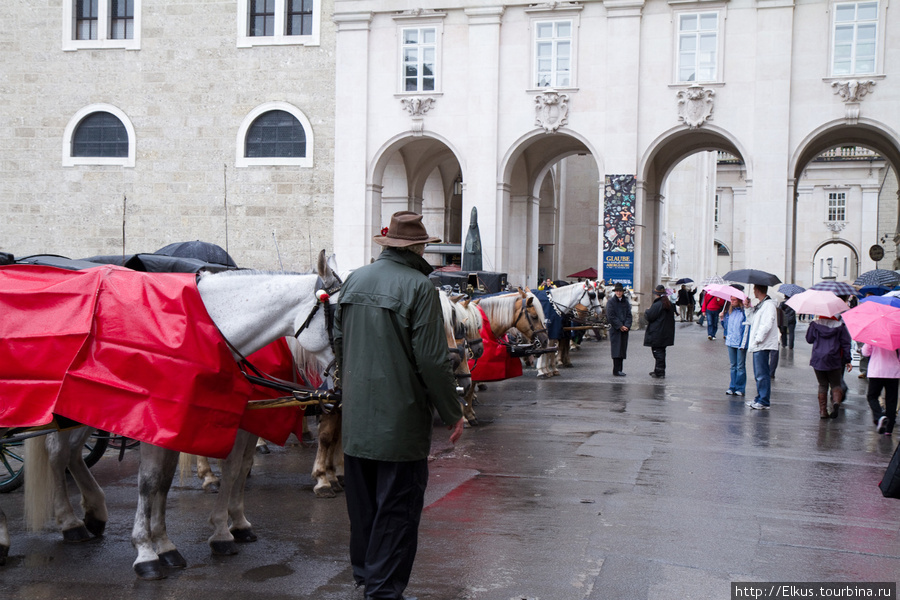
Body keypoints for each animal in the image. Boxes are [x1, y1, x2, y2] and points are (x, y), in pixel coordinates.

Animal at [16, 251, 342, 580]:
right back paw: (69, 522)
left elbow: (218, 470)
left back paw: (91, 514)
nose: (342, 382)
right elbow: (155, 480)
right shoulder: (163, 421)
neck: (210, 329)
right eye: (342, 314)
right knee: (58, 452)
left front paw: (227, 526)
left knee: (69, 452)